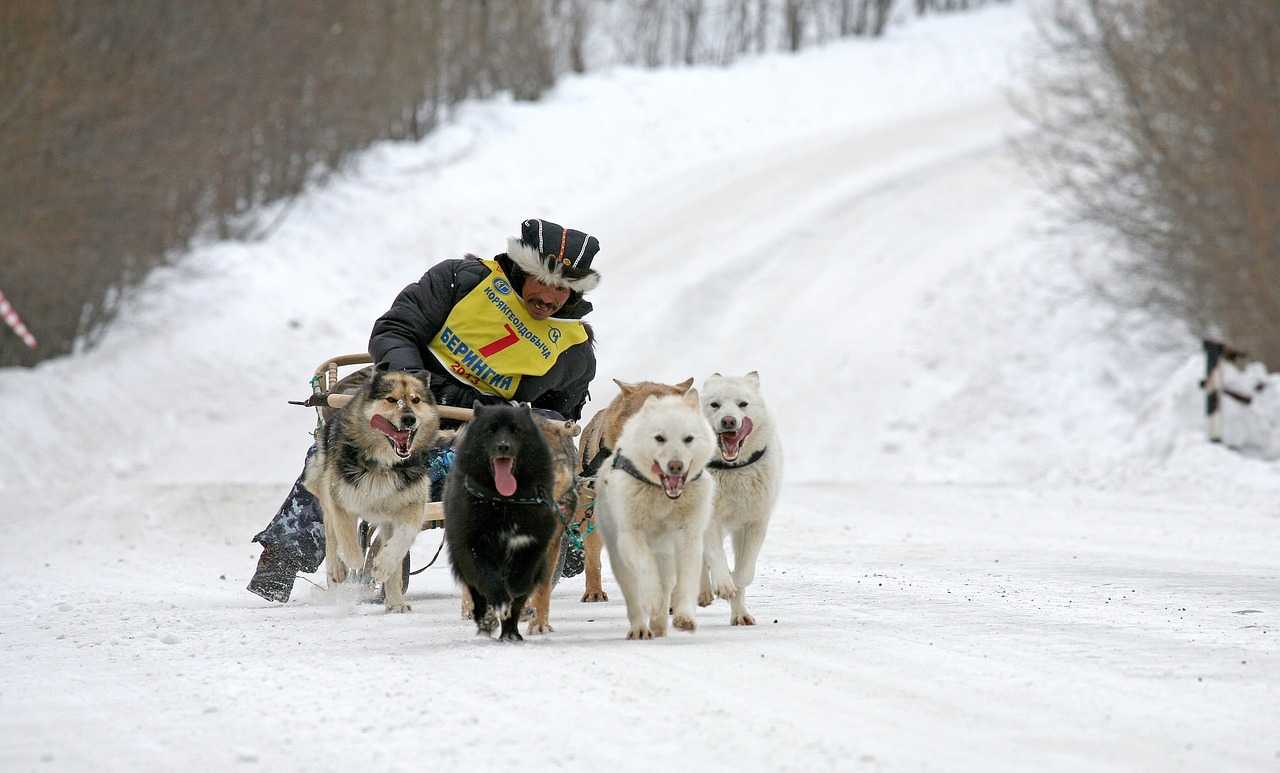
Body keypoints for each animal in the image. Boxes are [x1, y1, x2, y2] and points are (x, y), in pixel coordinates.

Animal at [302, 366, 442, 611]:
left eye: (415, 400)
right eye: (391, 399)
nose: (409, 418)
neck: (383, 464)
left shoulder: (412, 504)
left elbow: (401, 540)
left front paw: (384, 564)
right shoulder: (340, 499)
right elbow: (348, 542)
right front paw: (352, 567)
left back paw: (395, 601)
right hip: (322, 484)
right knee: (330, 528)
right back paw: (338, 569)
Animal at [591, 391, 716, 639]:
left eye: (689, 439)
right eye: (660, 438)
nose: (676, 466)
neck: (662, 497)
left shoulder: (688, 537)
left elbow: (687, 581)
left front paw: (685, 617)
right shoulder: (631, 535)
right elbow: (645, 567)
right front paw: (651, 599)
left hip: (667, 558)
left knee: (668, 585)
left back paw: (659, 625)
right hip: (620, 559)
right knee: (633, 595)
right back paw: (640, 627)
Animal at [701, 371, 778, 624]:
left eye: (743, 404)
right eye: (715, 405)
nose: (728, 421)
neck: (733, 470)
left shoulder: (755, 523)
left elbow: (745, 573)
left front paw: (737, 597)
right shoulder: (709, 520)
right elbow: (716, 555)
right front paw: (724, 585)